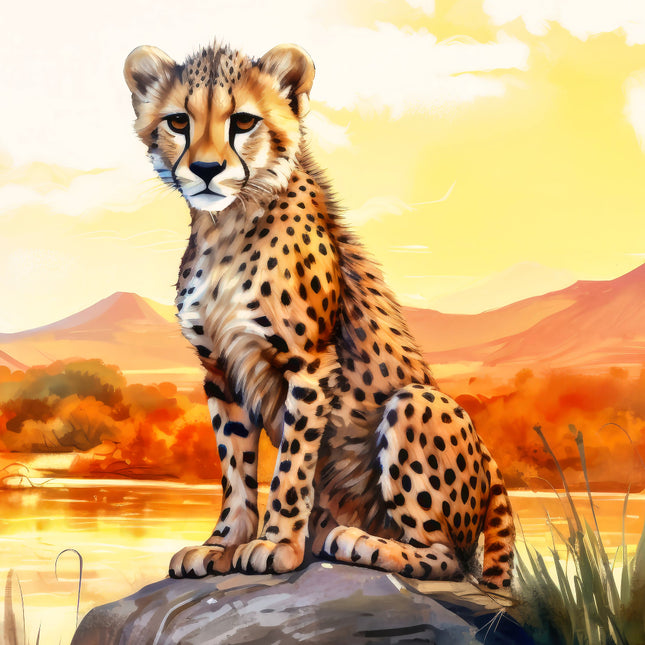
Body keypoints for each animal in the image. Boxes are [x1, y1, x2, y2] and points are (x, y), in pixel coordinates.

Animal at [124, 39, 515, 589]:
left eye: (243, 121)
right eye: (179, 121)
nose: (204, 170)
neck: (227, 226)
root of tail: (494, 467)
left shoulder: (308, 363)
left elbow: (291, 466)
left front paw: (275, 545)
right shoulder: (220, 371)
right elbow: (235, 470)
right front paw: (221, 544)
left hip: (419, 403)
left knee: (450, 559)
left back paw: (361, 543)